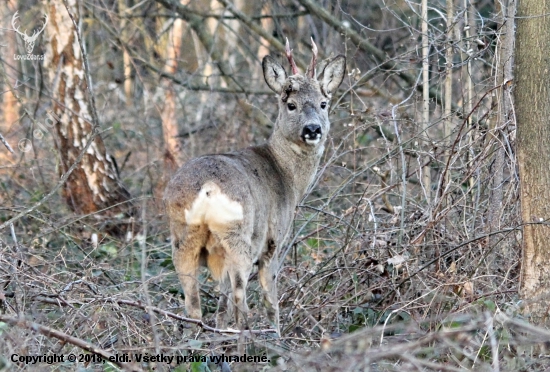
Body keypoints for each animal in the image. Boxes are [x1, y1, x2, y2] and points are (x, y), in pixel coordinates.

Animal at [164, 39, 344, 332]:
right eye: (290, 104)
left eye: (323, 103)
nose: (313, 129)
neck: (287, 176)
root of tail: (206, 188)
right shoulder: (275, 240)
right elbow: (270, 298)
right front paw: (277, 331)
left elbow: (222, 302)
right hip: (239, 235)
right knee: (240, 295)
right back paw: (248, 334)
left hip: (182, 236)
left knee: (193, 302)